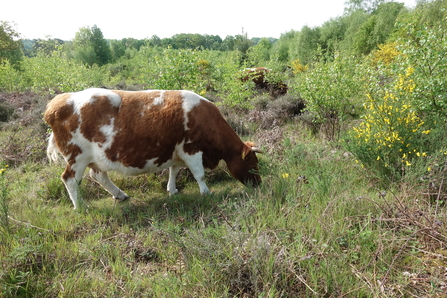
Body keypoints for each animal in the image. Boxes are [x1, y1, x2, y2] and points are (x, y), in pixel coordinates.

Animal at [44, 88, 262, 210]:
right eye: (252, 163)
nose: (258, 184)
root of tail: (56, 103)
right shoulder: (191, 149)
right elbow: (199, 174)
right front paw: (206, 192)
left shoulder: (177, 151)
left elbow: (174, 170)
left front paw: (172, 190)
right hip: (77, 156)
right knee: (70, 179)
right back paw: (81, 206)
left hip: (95, 158)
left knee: (99, 176)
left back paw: (120, 195)